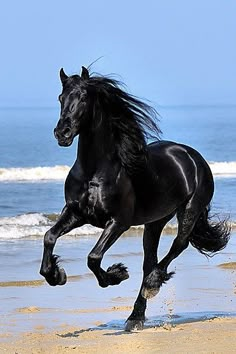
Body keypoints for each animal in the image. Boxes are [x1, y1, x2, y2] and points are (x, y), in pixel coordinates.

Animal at [39, 67, 230, 332]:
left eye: (84, 98)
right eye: (60, 98)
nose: (62, 133)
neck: (94, 171)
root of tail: (191, 155)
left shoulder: (118, 222)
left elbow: (93, 257)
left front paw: (117, 274)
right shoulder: (76, 213)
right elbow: (49, 236)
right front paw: (56, 275)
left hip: (190, 210)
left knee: (178, 245)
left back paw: (152, 285)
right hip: (155, 221)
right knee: (150, 260)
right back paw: (135, 316)